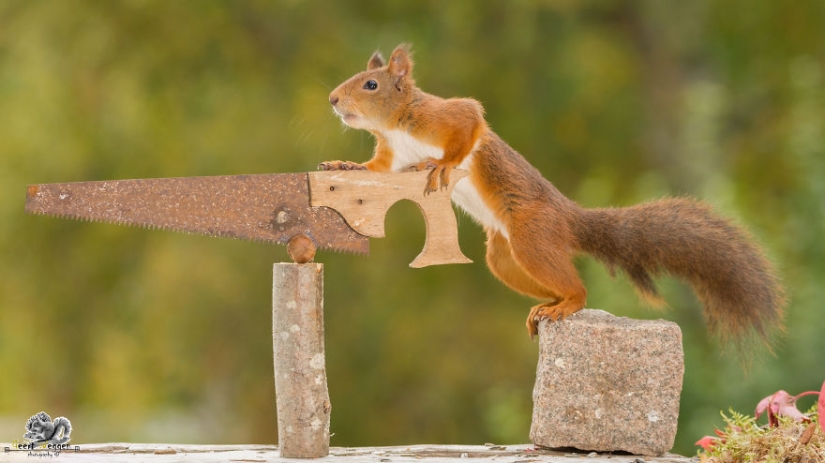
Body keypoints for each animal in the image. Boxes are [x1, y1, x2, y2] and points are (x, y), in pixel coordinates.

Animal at [321, 43, 785, 350]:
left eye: (371, 84)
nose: (332, 99)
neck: (397, 125)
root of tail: (568, 216)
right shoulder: (393, 156)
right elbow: (376, 171)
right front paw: (346, 166)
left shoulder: (444, 115)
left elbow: (469, 122)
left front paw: (444, 164)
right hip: (506, 256)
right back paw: (548, 304)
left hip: (532, 235)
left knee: (578, 290)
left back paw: (568, 303)